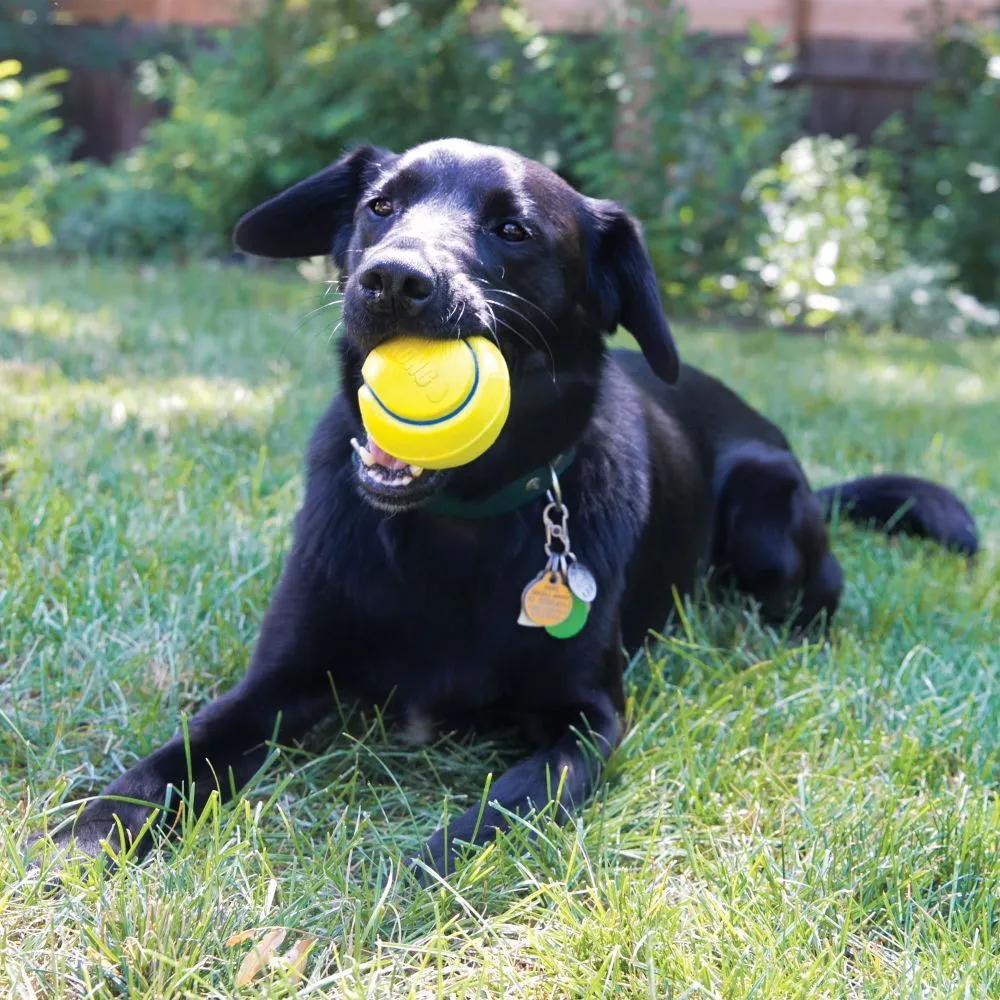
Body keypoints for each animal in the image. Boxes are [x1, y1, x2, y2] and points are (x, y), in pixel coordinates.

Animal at [39, 139, 976, 876]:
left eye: (514, 230)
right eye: (381, 207)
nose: (393, 280)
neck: (454, 525)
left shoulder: (587, 724)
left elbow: (505, 805)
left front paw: (417, 870)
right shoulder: (278, 680)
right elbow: (174, 757)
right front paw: (93, 832)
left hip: (767, 521)